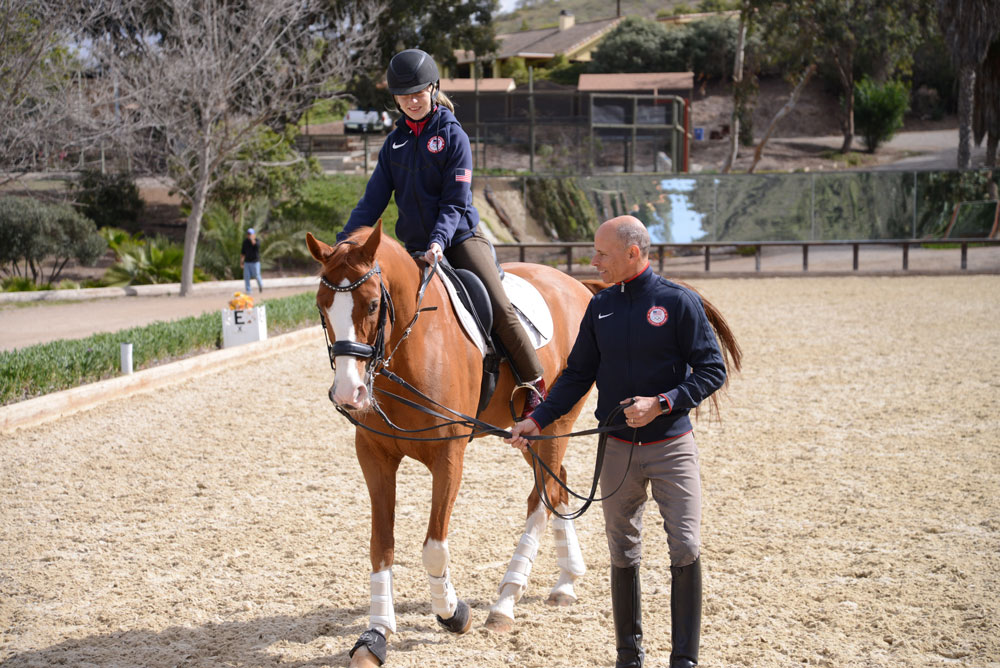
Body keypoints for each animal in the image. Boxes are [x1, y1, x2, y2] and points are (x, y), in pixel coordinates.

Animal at [304, 222, 744, 664]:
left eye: (373, 304)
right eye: (322, 306)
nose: (349, 394)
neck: (411, 346)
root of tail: (577, 285)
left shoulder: (449, 456)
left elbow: (434, 547)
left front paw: (452, 613)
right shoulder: (374, 456)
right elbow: (381, 545)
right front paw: (375, 635)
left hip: (557, 418)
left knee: (540, 499)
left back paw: (505, 602)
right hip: (532, 431)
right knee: (556, 485)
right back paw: (565, 581)